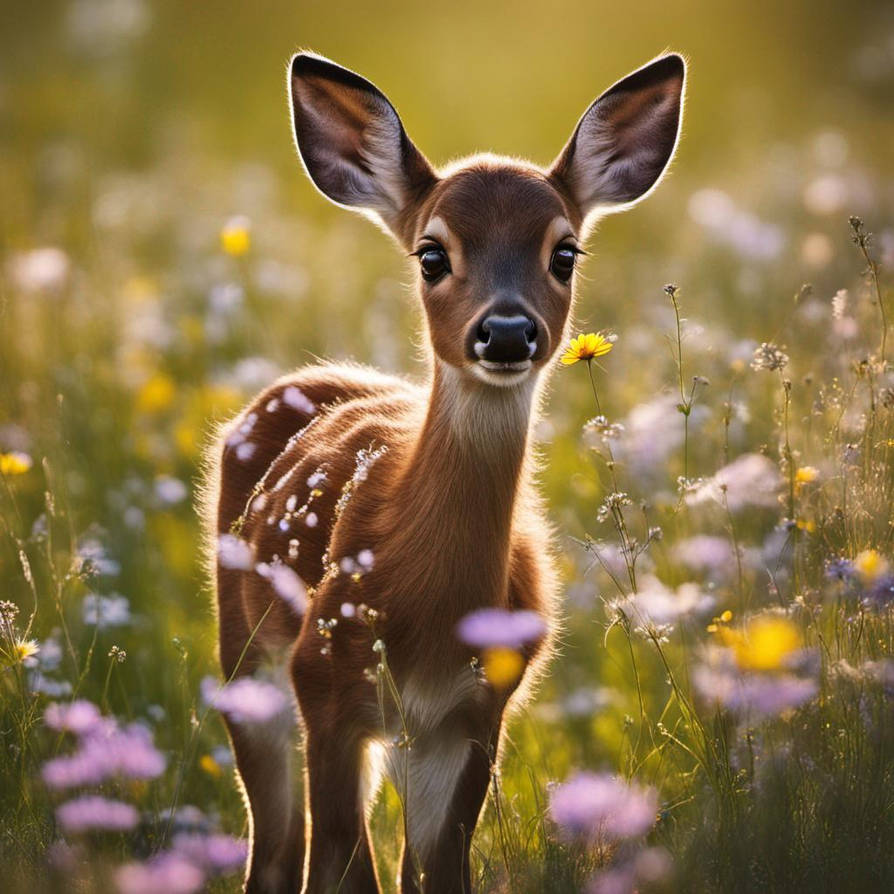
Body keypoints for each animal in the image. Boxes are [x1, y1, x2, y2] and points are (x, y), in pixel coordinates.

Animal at [205, 49, 685, 894]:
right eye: (432, 254)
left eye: (565, 252)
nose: (507, 330)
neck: (424, 598)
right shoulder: (324, 678)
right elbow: (342, 864)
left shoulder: (475, 710)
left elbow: (434, 868)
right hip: (247, 660)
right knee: (276, 846)